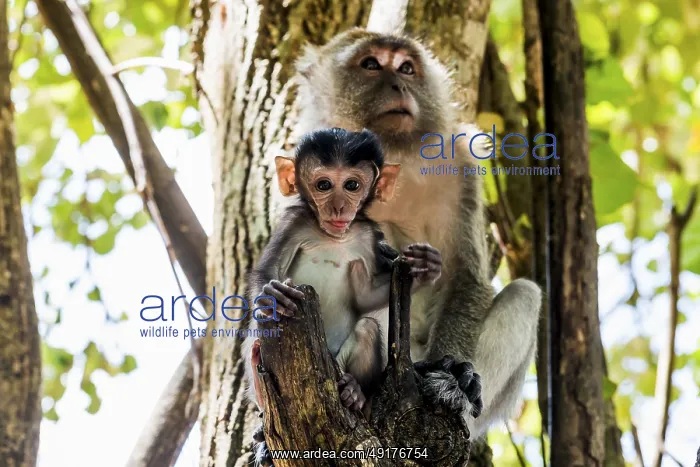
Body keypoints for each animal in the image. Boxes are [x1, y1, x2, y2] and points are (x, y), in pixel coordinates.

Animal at [243, 127, 445, 465]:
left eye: (352, 185)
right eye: (323, 185)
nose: (338, 207)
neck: (333, 236)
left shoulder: (366, 238)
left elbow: (365, 297)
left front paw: (424, 267)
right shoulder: (294, 223)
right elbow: (269, 270)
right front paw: (274, 294)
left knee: (366, 329)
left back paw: (353, 391)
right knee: (258, 344)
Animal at [293, 28, 542, 438]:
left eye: (406, 68)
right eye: (371, 64)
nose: (399, 84)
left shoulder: (461, 166)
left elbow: (466, 277)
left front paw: (453, 375)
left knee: (524, 294)